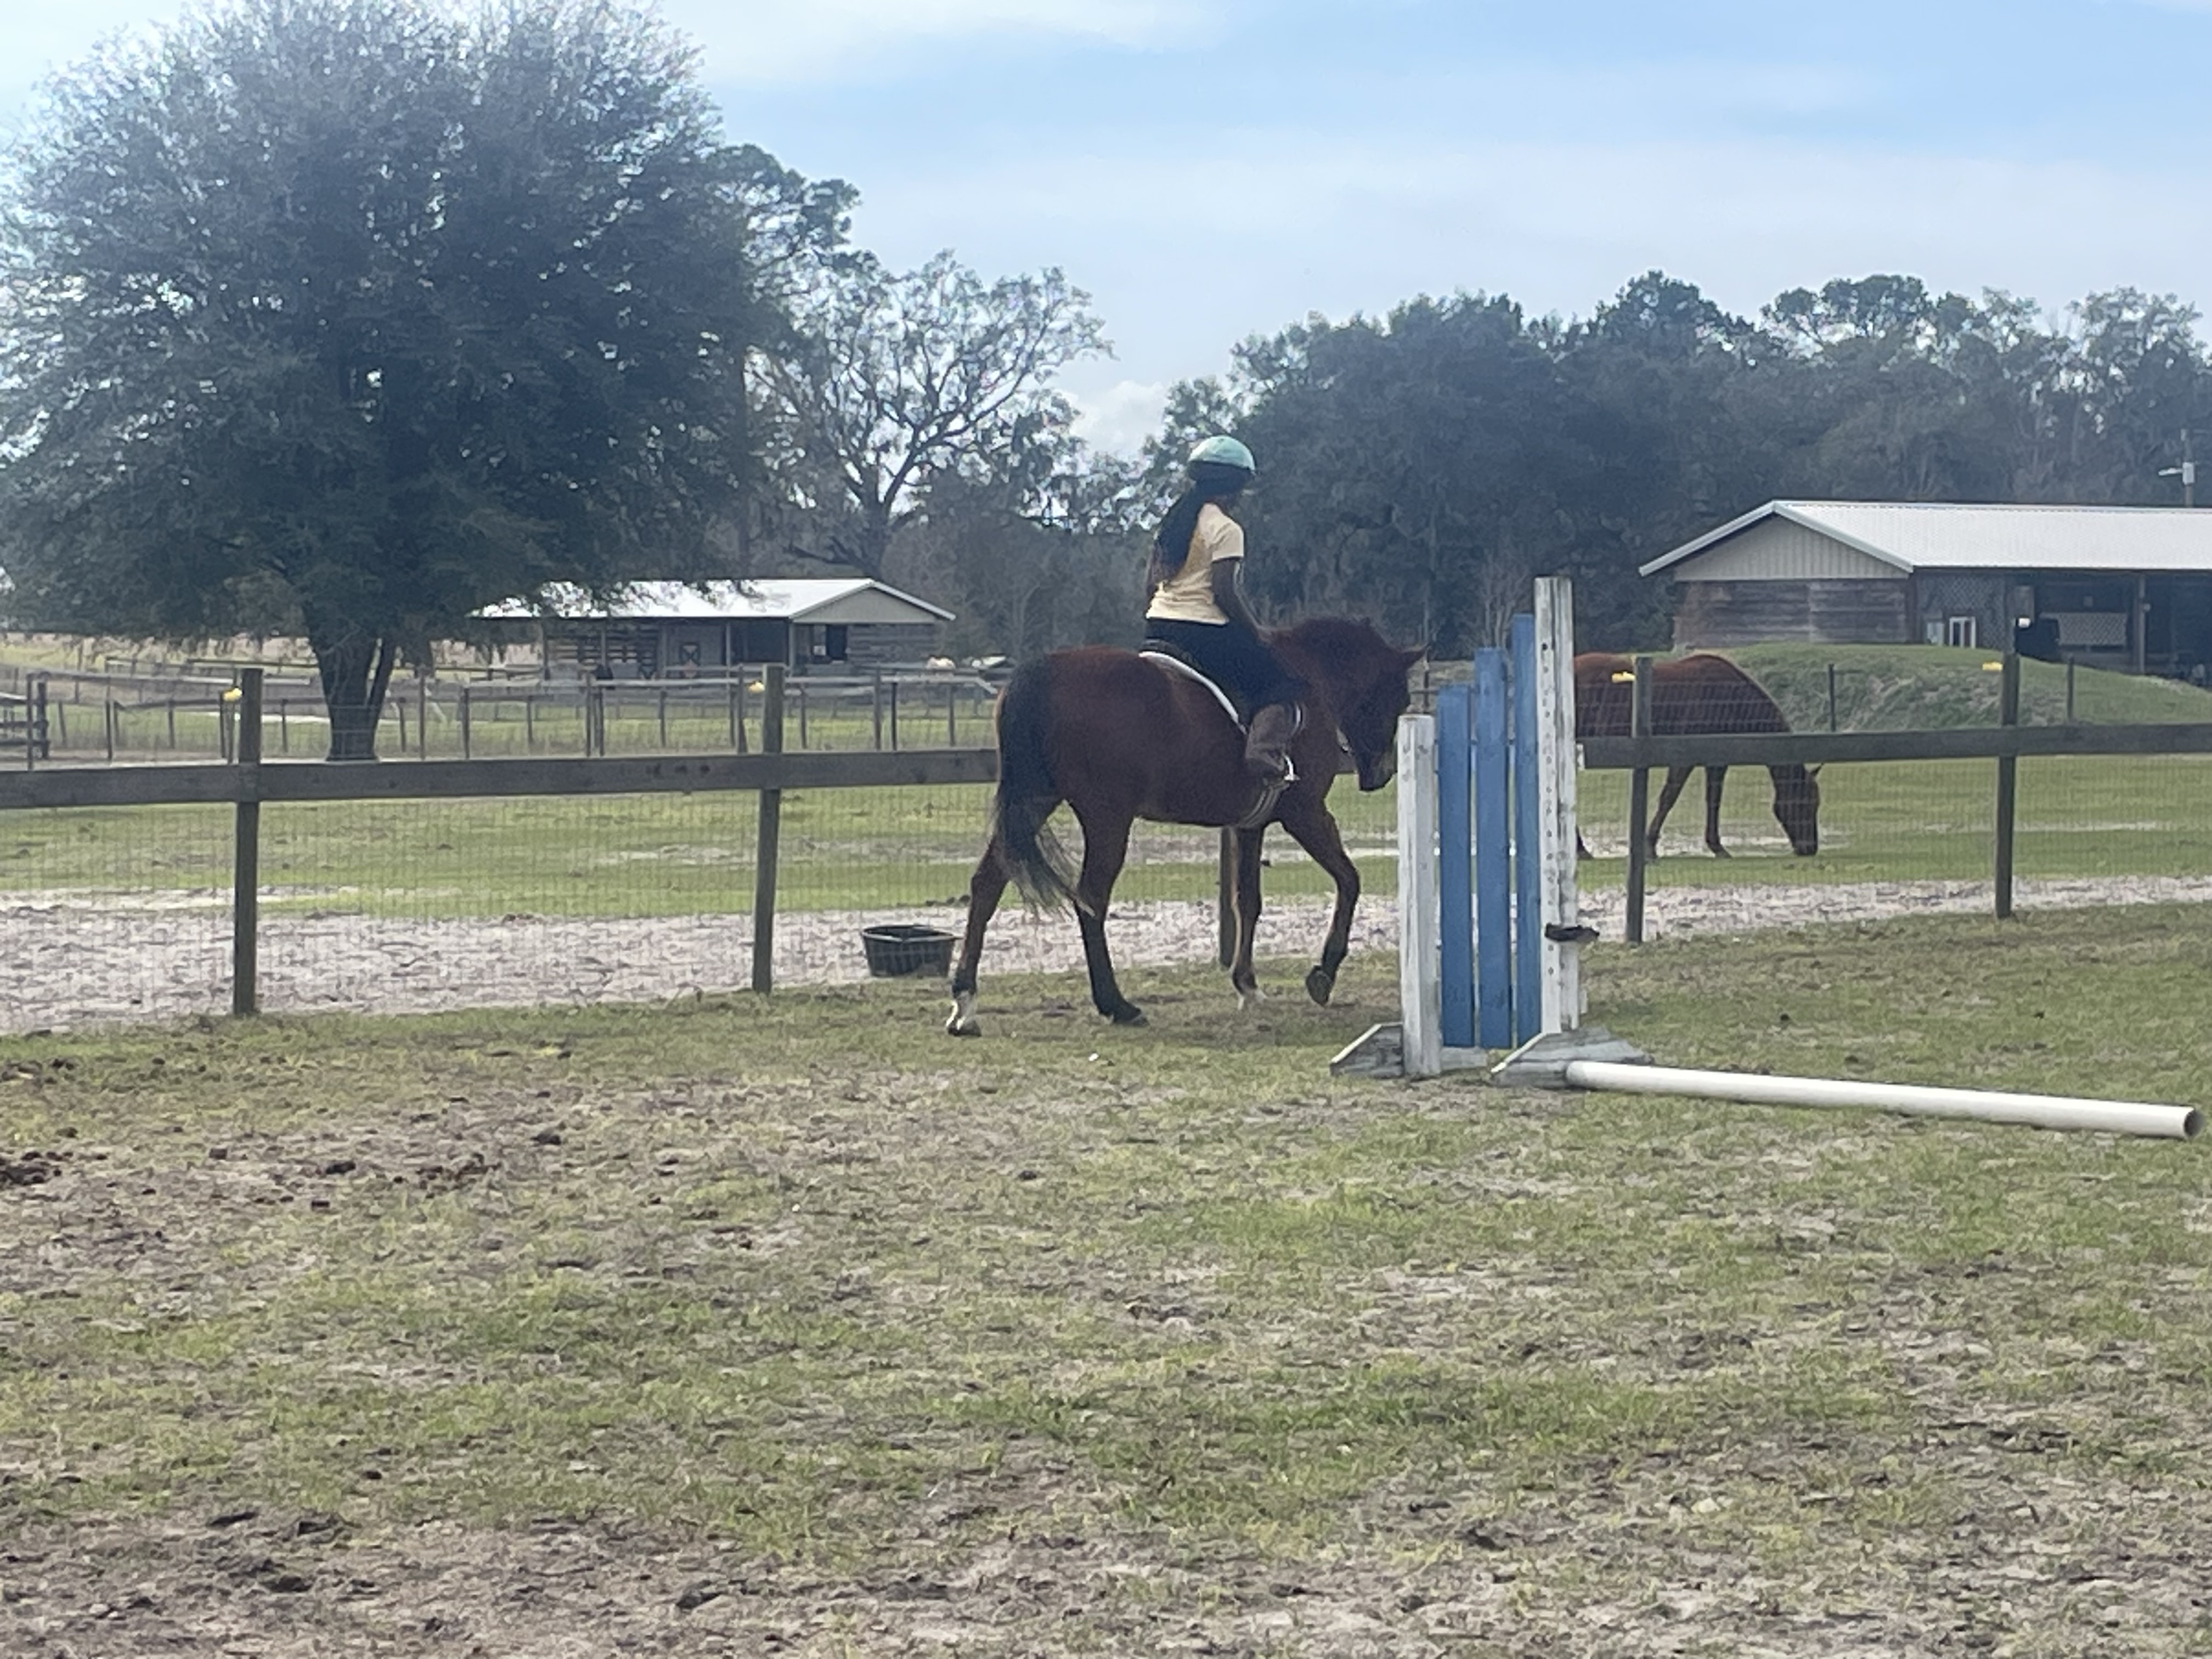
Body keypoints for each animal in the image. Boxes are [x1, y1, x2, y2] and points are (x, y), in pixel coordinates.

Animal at [946, 618, 1423, 1034]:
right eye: (1399, 701)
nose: (1380, 775)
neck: (1312, 678)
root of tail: (1042, 671)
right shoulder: (1306, 814)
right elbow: (1349, 880)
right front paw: (1324, 972)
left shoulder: (1251, 826)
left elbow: (1247, 902)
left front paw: (1247, 986)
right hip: (1106, 819)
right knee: (1092, 900)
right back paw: (1116, 1004)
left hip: (1034, 804)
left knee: (987, 885)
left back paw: (965, 1004)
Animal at [1574, 653, 1820, 858]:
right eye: (1805, 803)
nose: (1810, 848)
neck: (1728, 697)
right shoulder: (1683, 760)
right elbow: (1669, 798)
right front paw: (1650, 847)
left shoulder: (1717, 762)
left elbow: (1713, 800)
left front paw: (1717, 846)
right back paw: (1582, 850)